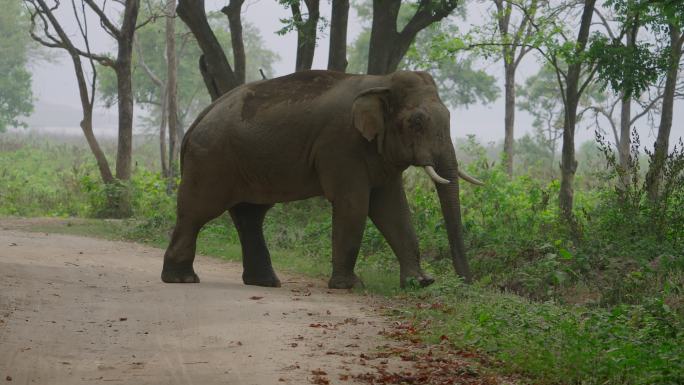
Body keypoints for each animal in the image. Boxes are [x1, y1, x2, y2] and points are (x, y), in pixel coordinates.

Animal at [161, 70, 484, 288]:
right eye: (416, 123)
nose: (466, 282)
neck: (381, 81)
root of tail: (197, 120)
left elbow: (393, 210)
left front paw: (420, 283)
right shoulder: (340, 145)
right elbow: (354, 205)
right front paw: (349, 286)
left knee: (249, 216)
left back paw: (265, 282)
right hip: (210, 160)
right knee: (196, 212)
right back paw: (182, 279)